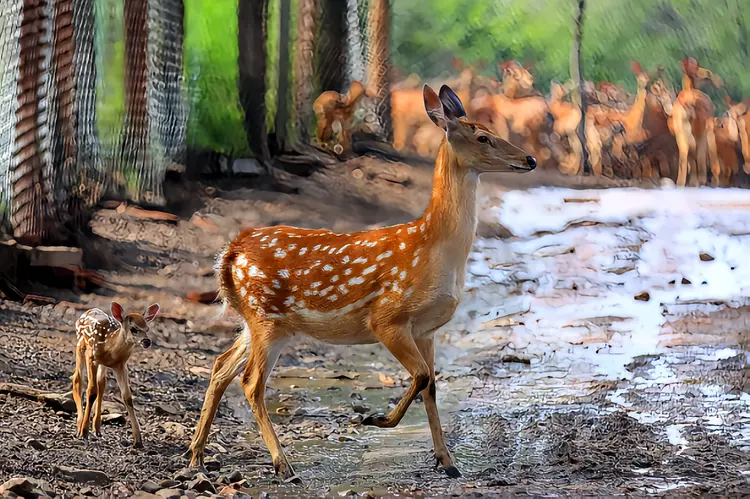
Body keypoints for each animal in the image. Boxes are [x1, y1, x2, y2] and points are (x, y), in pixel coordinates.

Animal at [72, 302, 160, 448]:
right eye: (133, 329)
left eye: (147, 328)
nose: (147, 342)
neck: (110, 348)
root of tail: (88, 311)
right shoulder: (92, 357)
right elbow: (91, 391)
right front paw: (84, 432)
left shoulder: (120, 365)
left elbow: (127, 397)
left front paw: (138, 440)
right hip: (81, 346)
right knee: (77, 379)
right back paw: (80, 425)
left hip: (103, 365)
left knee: (101, 383)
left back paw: (97, 428)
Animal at [187, 84, 536, 482]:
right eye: (483, 137)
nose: (529, 159)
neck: (435, 249)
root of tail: (231, 251)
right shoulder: (387, 318)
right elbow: (420, 377)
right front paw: (375, 419)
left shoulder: (426, 330)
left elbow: (431, 385)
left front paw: (447, 462)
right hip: (266, 316)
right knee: (250, 381)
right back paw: (282, 464)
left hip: (258, 320)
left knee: (220, 367)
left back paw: (196, 457)